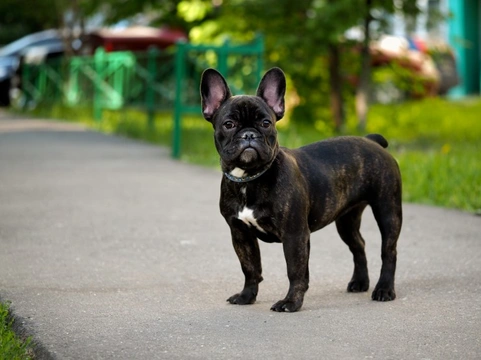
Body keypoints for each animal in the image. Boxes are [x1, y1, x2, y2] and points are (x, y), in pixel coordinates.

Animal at [199, 67, 402, 312]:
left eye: (266, 123)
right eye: (229, 124)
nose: (249, 134)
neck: (250, 178)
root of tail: (372, 141)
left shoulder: (294, 235)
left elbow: (295, 270)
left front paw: (291, 302)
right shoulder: (240, 234)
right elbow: (250, 268)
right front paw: (247, 295)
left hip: (388, 210)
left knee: (388, 251)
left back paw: (384, 289)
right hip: (346, 220)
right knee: (358, 245)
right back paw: (360, 282)